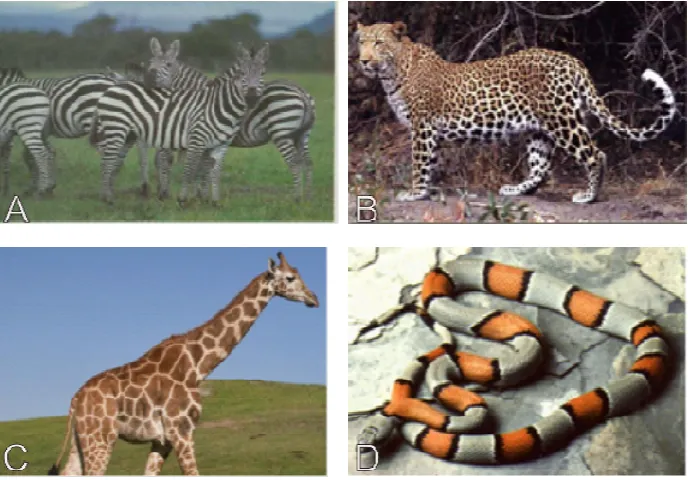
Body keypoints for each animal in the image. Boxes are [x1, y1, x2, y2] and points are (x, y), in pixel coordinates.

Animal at [89, 43, 266, 205]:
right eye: (151, 63)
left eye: (168, 65)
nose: (149, 81)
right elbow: (181, 165)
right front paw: (178, 195)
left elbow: (201, 168)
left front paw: (200, 196)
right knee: (113, 160)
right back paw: (110, 195)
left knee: (115, 160)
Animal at [146, 38, 316, 200]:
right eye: (150, 63)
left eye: (168, 64)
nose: (150, 79)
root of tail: (300, 91)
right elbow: (203, 166)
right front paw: (201, 195)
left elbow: (186, 164)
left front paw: (193, 194)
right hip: (303, 135)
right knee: (307, 162)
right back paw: (308, 198)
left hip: (281, 132)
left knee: (294, 163)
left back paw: (296, 198)